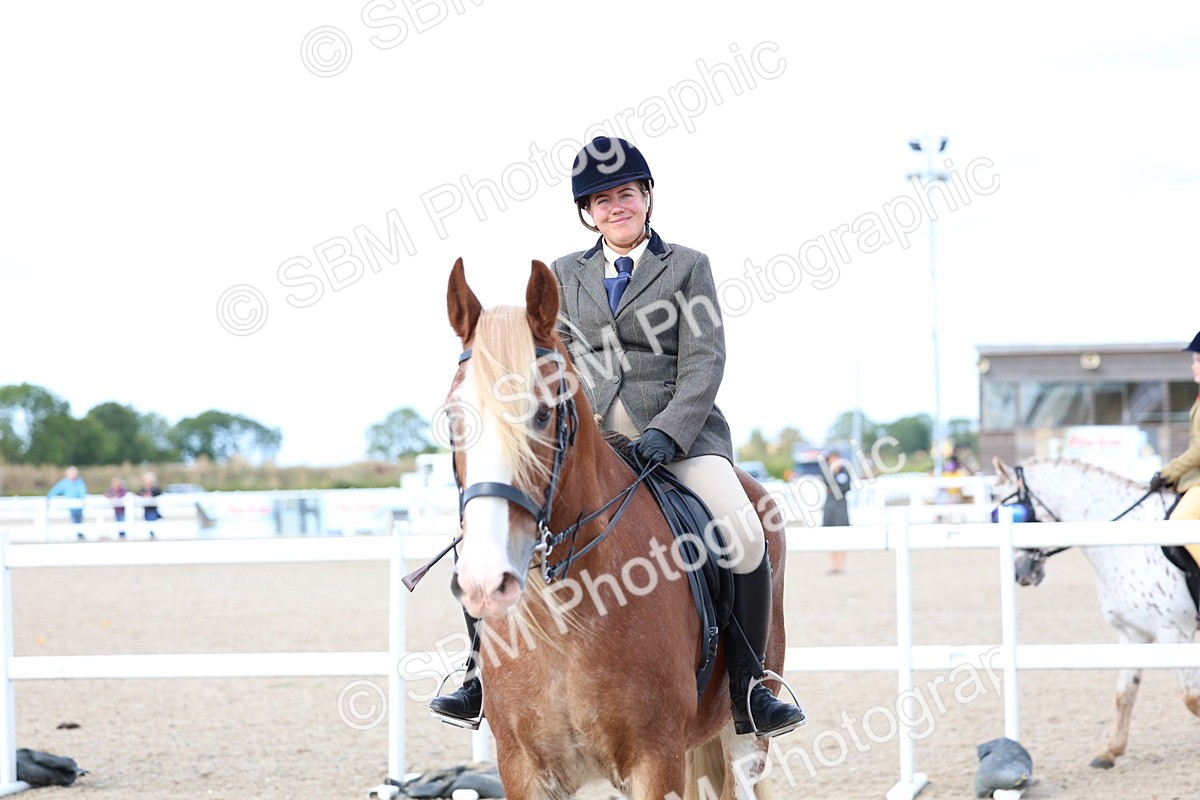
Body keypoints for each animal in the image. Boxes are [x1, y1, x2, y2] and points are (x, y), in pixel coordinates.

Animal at [440, 258, 790, 800]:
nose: (484, 579)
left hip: (744, 740)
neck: (563, 616)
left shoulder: (655, 761)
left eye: (543, 414)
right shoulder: (522, 768)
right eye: (453, 416)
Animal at [994, 457, 1200, 768]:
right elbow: (1124, 694)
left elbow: (1191, 698)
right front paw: (1110, 750)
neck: (1128, 542)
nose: (1020, 573)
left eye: (1018, 514)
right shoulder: (1132, 634)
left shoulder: (1175, 633)